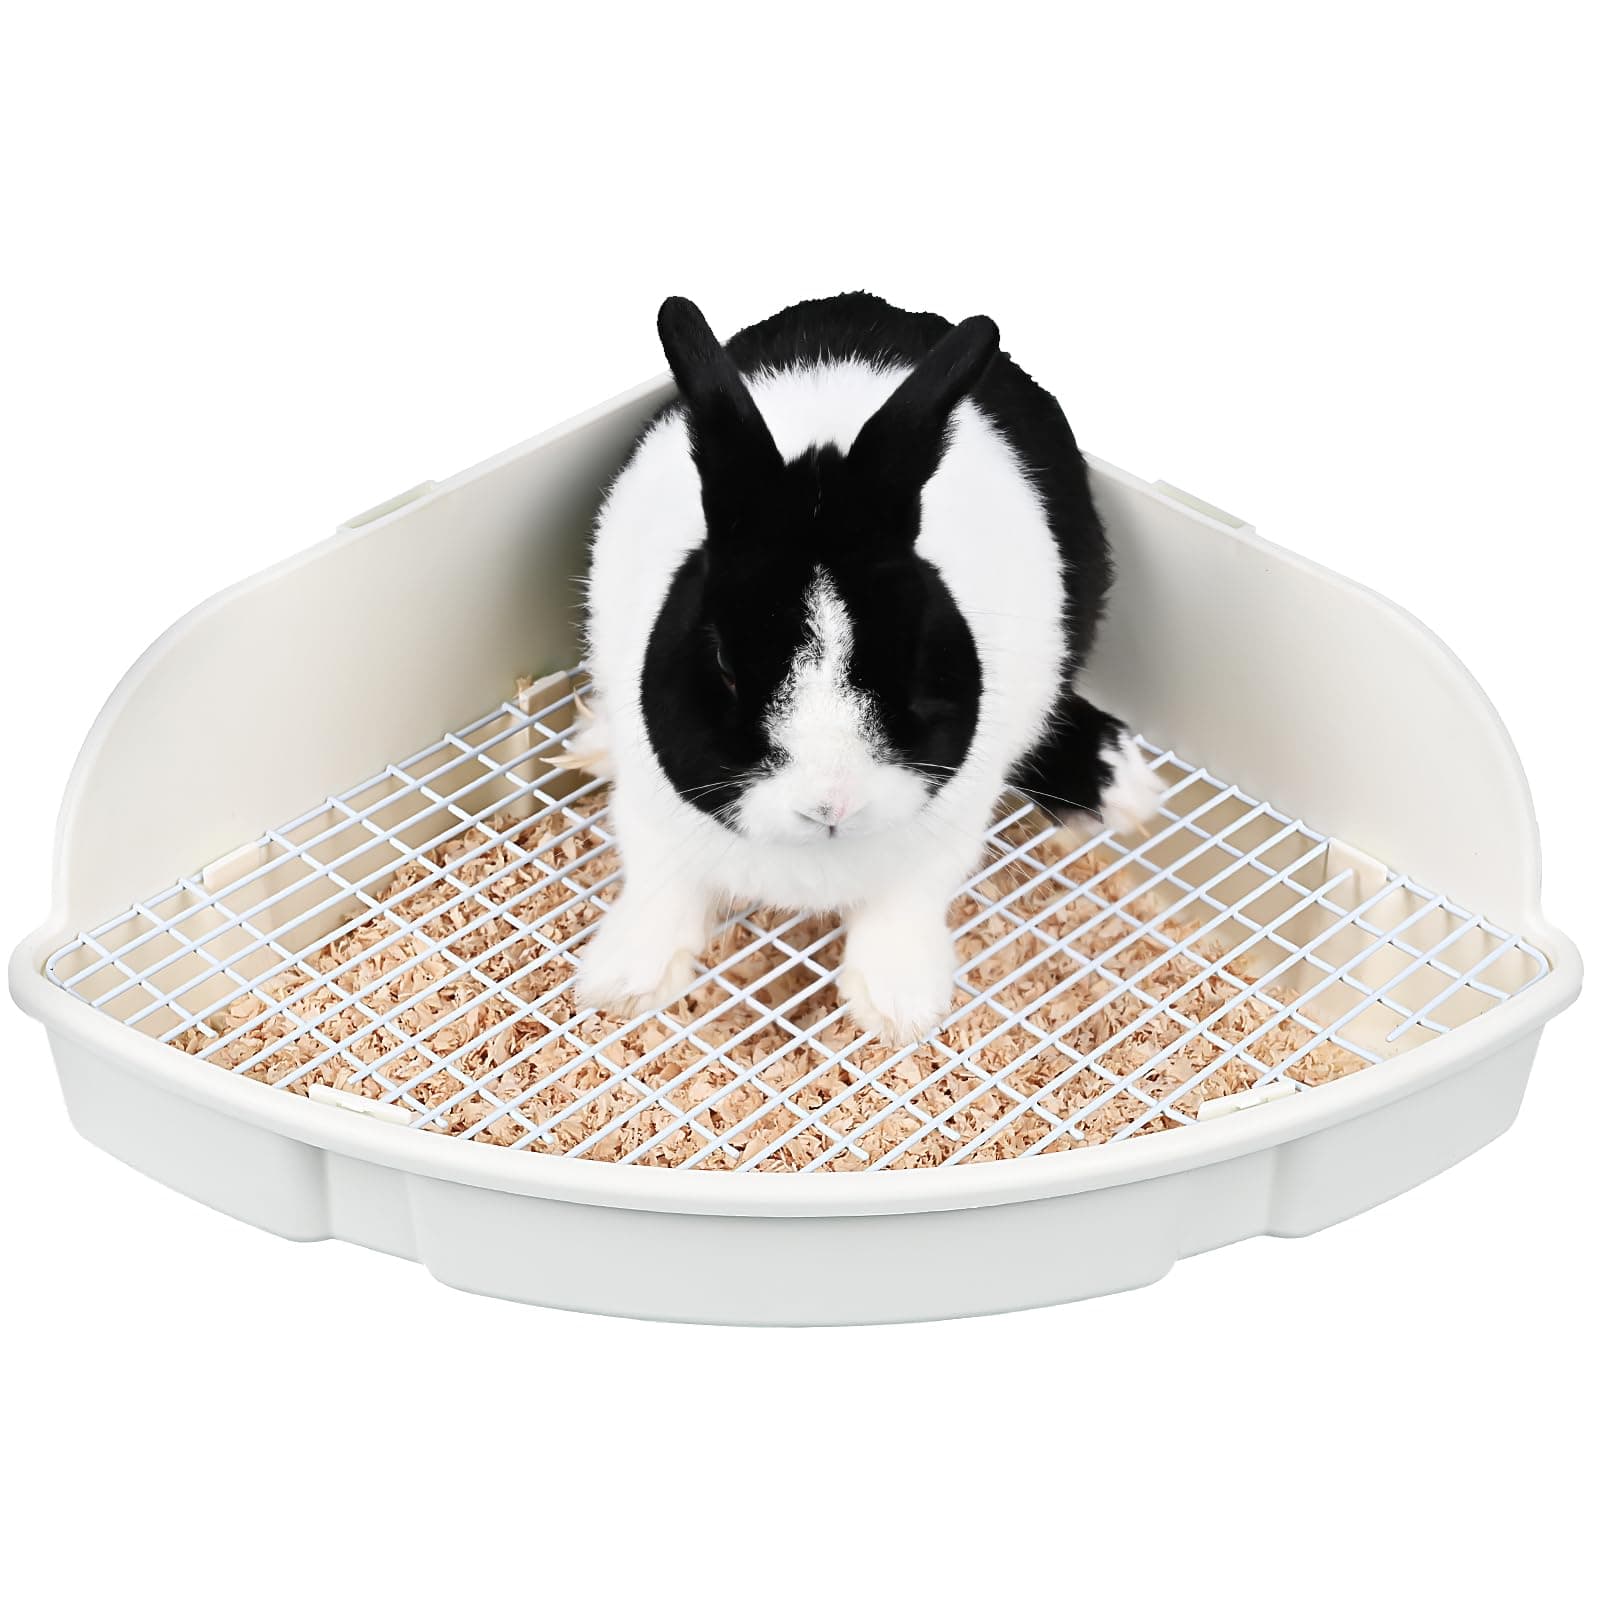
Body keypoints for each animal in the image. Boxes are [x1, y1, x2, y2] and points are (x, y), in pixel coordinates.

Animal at [573, 292, 1161, 1043]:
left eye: (912, 657)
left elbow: (906, 903)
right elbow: (658, 883)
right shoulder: (650, 814)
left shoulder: (947, 834)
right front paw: (625, 984)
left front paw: (893, 1008)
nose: (832, 805)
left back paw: (1123, 785)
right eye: (727, 666)